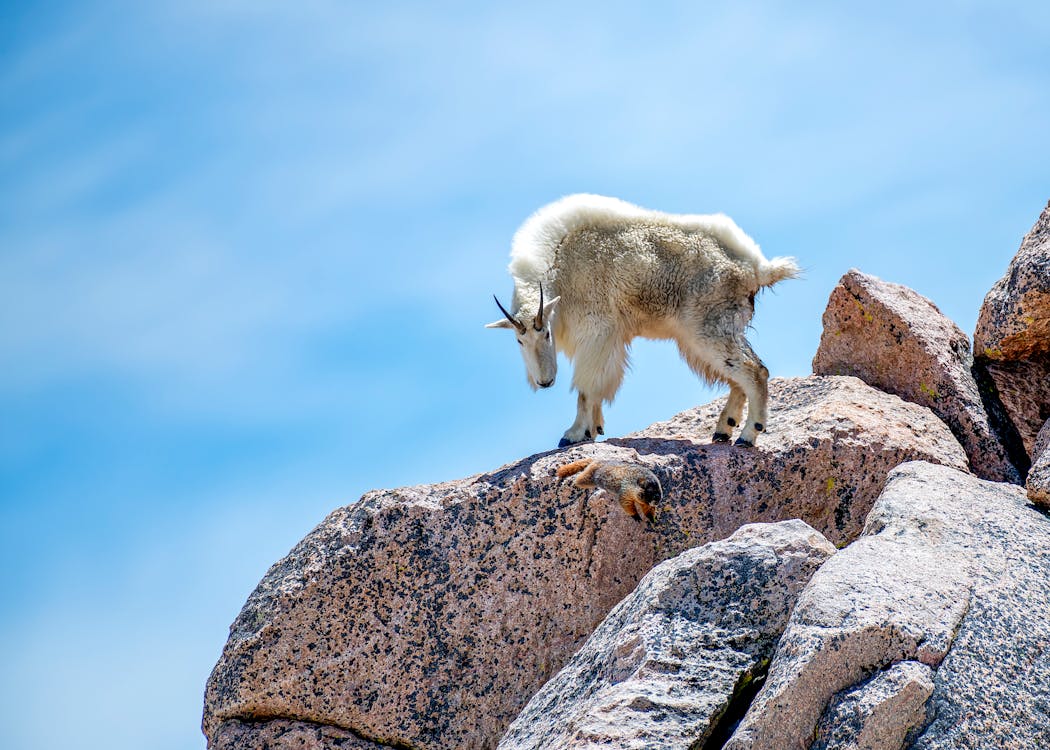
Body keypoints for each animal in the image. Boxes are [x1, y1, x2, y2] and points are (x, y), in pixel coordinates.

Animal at [487, 195, 797, 447]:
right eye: (518, 341)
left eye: (547, 334)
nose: (545, 381)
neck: (560, 263)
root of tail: (755, 269)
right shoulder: (607, 338)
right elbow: (597, 387)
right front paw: (594, 429)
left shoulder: (597, 330)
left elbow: (586, 387)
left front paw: (573, 434)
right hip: (703, 333)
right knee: (738, 376)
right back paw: (723, 430)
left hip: (709, 326)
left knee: (754, 371)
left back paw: (748, 435)